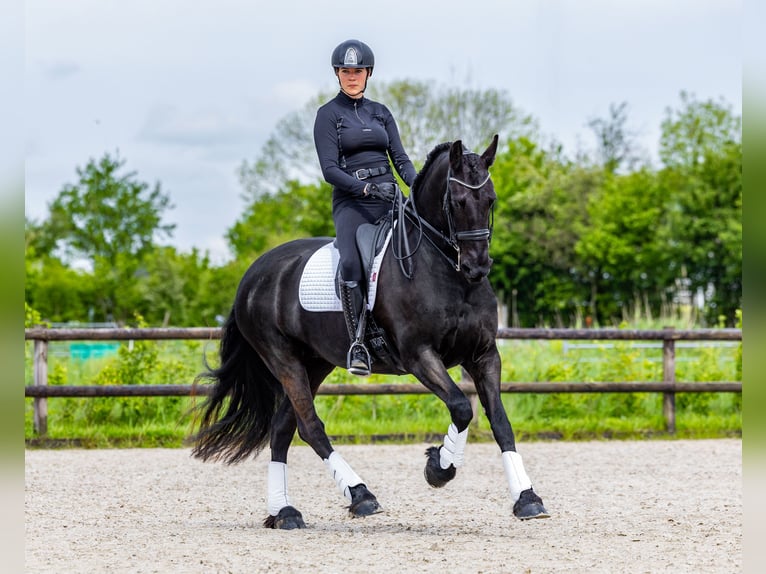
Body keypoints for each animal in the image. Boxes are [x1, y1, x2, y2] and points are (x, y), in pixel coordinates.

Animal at [192, 136, 552, 532]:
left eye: (490, 199)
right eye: (457, 201)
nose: (477, 267)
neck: (446, 271)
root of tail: (253, 274)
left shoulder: (484, 354)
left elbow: (500, 421)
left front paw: (527, 498)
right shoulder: (419, 355)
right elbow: (461, 407)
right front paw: (438, 467)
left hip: (314, 362)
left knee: (284, 427)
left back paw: (285, 512)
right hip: (282, 358)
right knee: (311, 426)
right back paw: (360, 496)